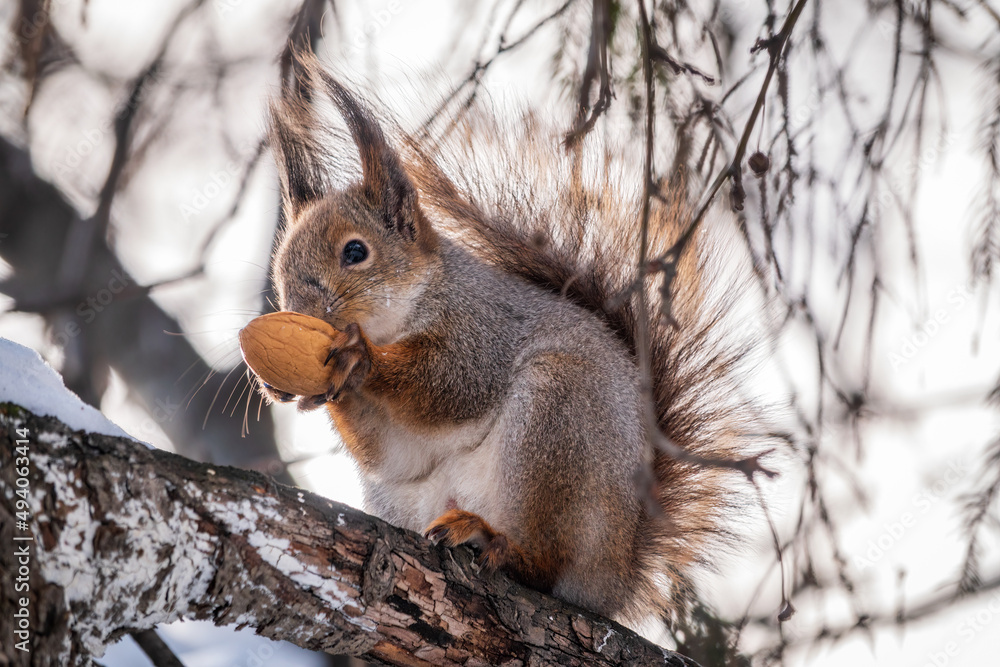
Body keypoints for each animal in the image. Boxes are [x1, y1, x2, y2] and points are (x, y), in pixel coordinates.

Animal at [255, 55, 760, 629]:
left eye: (355, 252)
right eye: (280, 267)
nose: (301, 312)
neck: (408, 310)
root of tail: (614, 581)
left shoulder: (484, 330)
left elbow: (453, 384)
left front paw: (361, 359)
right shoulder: (396, 450)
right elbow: (391, 452)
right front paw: (305, 390)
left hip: (557, 425)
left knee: (542, 565)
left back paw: (493, 542)